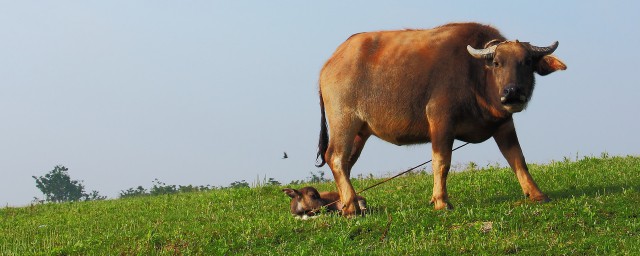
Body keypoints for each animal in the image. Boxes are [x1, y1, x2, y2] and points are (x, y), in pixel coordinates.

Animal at [316, 22, 564, 215]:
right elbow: (442, 161)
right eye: (497, 63)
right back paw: (350, 205)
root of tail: (329, 65)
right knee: (335, 157)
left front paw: (537, 194)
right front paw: (441, 201)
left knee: (346, 163)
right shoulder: (441, 120)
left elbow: (517, 158)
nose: (512, 92)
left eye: (527, 62)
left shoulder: (503, 124)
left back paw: (351, 203)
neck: (475, 75)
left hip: (360, 131)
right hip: (344, 121)